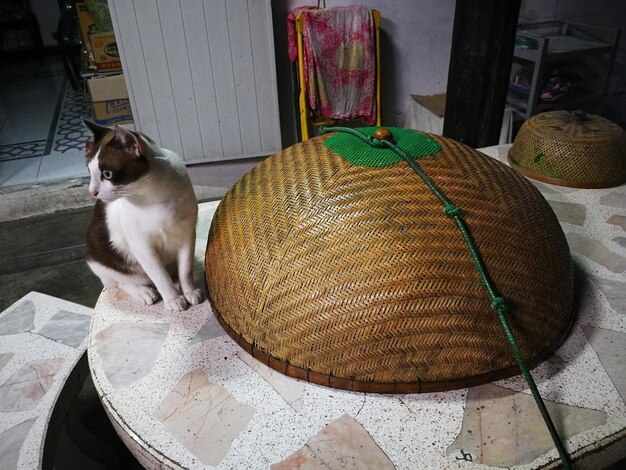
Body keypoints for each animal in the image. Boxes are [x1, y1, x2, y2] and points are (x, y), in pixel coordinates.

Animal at [82, 119, 202, 312]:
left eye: (107, 174)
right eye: (89, 172)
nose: (92, 192)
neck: (154, 195)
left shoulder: (187, 235)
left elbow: (186, 268)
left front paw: (189, 290)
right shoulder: (141, 247)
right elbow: (159, 276)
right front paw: (173, 299)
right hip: (99, 259)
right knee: (117, 282)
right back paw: (144, 291)